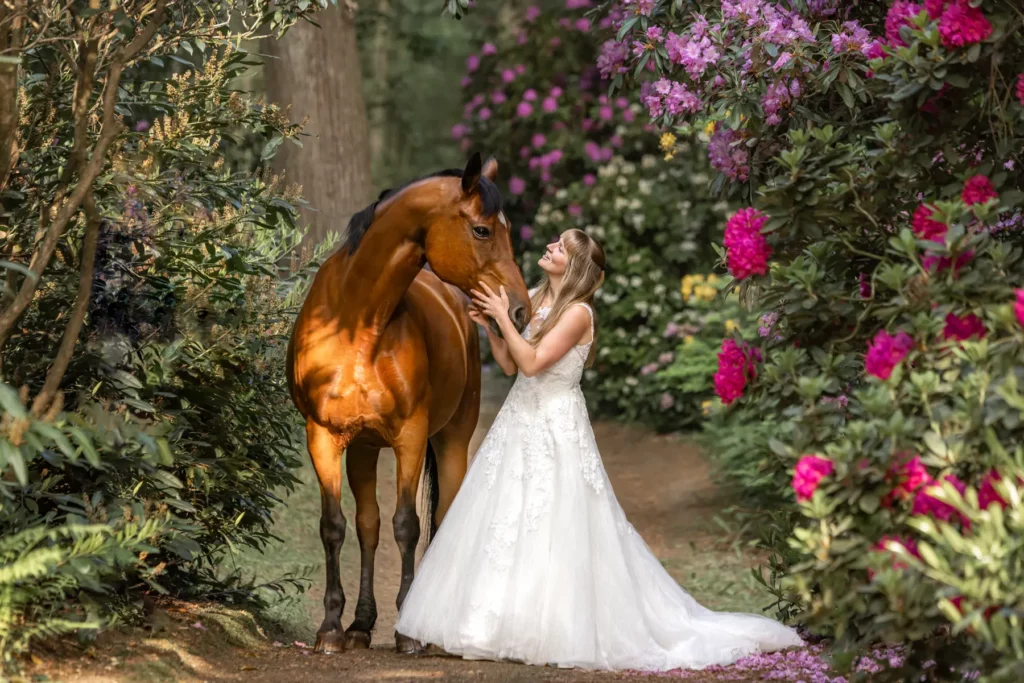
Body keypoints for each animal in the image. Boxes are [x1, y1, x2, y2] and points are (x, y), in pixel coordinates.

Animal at [286, 153, 530, 654]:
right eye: (482, 230)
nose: (519, 310)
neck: (355, 323)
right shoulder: (323, 438)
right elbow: (336, 525)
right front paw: (332, 628)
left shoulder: (411, 437)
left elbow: (408, 525)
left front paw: (407, 629)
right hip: (361, 449)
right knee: (368, 524)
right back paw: (361, 625)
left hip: (452, 438)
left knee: (440, 514)